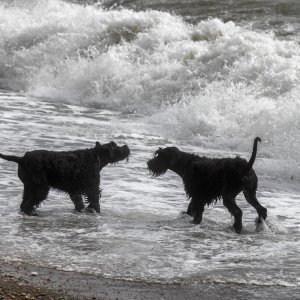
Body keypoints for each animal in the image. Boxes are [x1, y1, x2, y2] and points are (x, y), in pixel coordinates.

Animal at [0, 142, 130, 214]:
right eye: (115, 145)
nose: (127, 147)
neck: (96, 156)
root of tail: (21, 159)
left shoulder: (75, 190)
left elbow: (79, 202)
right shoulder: (93, 188)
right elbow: (95, 202)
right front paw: (95, 212)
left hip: (30, 186)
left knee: (24, 202)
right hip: (40, 188)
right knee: (27, 203)